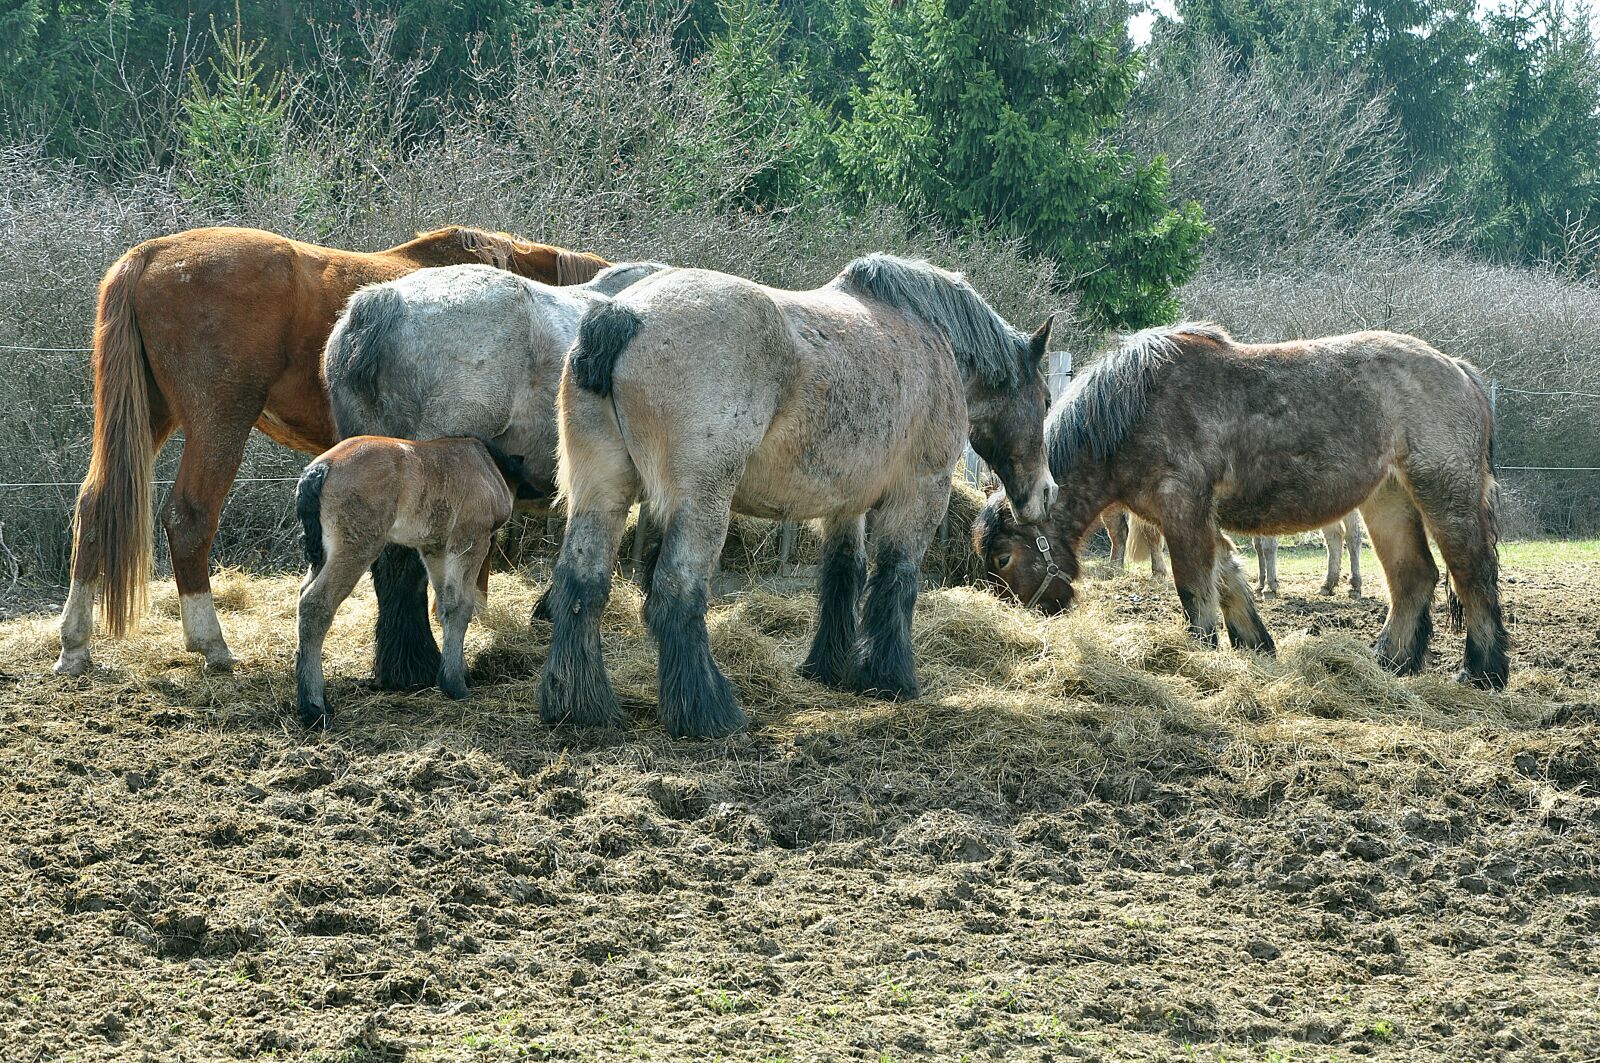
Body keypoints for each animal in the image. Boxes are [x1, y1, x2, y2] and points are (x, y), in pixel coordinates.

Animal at [55, 225, 608, 679]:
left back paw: (74, 643)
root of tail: (151, 255)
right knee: (189, 517)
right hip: (220, 422)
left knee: (95, 505)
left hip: (151, 416)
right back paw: (210, 642)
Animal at [294, 435, 537, 728]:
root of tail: (320, 469)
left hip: (323, 555)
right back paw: (313, 707)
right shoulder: (470, 540)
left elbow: (446, 605)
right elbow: (461, 606)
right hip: (357, 547)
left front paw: (457, 672)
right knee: (315, 605)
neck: (486, 463)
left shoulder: (434, 548)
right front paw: (455, 683)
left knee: (303, 596)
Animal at [540, 255, 1059, 738]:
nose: (1046, 493)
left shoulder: (846, 504)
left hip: (601, 492)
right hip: (700, 504)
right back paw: (708, 712)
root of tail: (625, 313)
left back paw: (580, 705)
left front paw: (828, 666)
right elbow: (896, 577)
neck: (933, 339)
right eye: (1048, 399)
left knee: (581, 583)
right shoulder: (920, 493)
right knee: (675, 591)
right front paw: (888, 677)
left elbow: (843, 574)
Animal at [973, 323, 1509, 688]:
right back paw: (1389, 664)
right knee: (1412, 577)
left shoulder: (1183, 511)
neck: (1132, 411)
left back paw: (1482, 673)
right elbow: (1228, 577)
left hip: (1445, 495)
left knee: (1473, 574)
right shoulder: (1198, 519)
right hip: (1388, 498)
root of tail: (1459, 369)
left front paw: (1201, 654)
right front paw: (1255, 646)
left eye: (1003, 558)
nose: (1042, 613)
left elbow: (1194, 587)